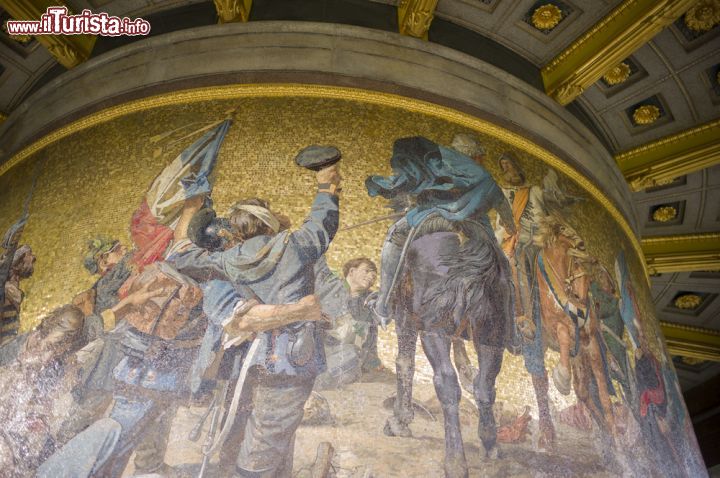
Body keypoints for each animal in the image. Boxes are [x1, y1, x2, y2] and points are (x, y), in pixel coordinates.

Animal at [382, 219, 516, 478]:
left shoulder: (406, 318)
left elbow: (405, 364)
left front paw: (400, 421)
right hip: (491, 336)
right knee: (485, 385)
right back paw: (489, 443)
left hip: (434, 333)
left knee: (446, 384)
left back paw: (455, 462)